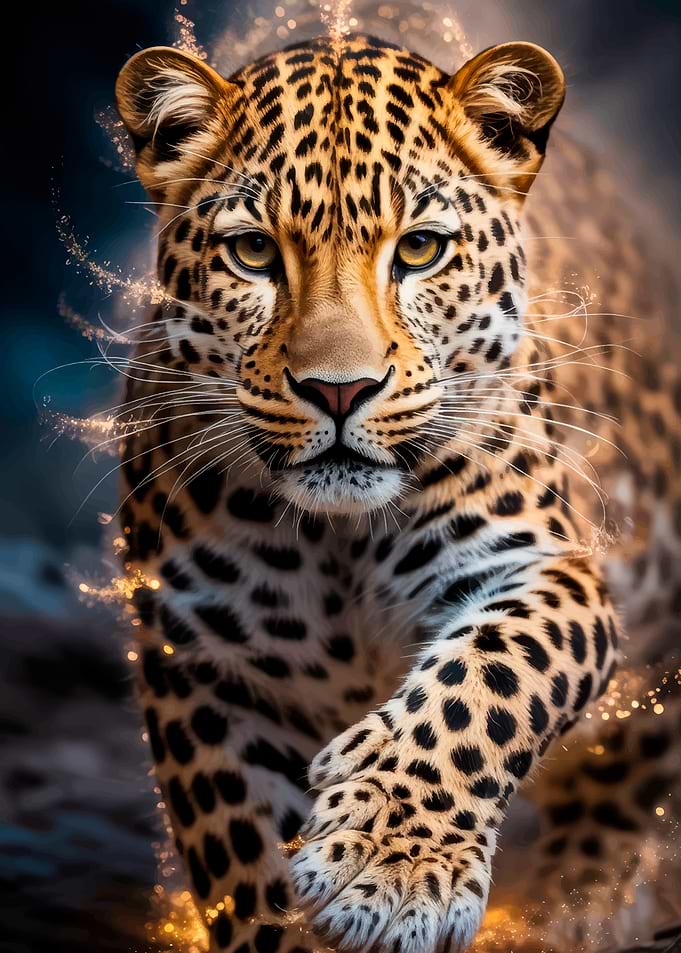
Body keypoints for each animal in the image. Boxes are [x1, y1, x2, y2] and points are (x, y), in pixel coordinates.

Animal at [113, 32, 681, 953]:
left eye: (418, 250)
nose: (338, 390)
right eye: (253, 253)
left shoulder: (536, 562)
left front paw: (393, 864)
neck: (337, 538)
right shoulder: (201, 657)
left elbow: (487, 679)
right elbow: (244, 864)